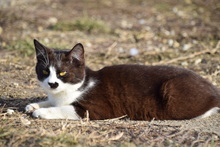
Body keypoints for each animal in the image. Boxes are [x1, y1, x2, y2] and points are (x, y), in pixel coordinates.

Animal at [24, 39, 220, 120]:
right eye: (45, 71)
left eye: (63, 73)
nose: (52, 83)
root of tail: (213, 88)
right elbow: (51, 101)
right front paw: (35, 105)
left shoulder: (97, 108)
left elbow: (66, 109)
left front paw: (41, 112)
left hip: (172, 92)